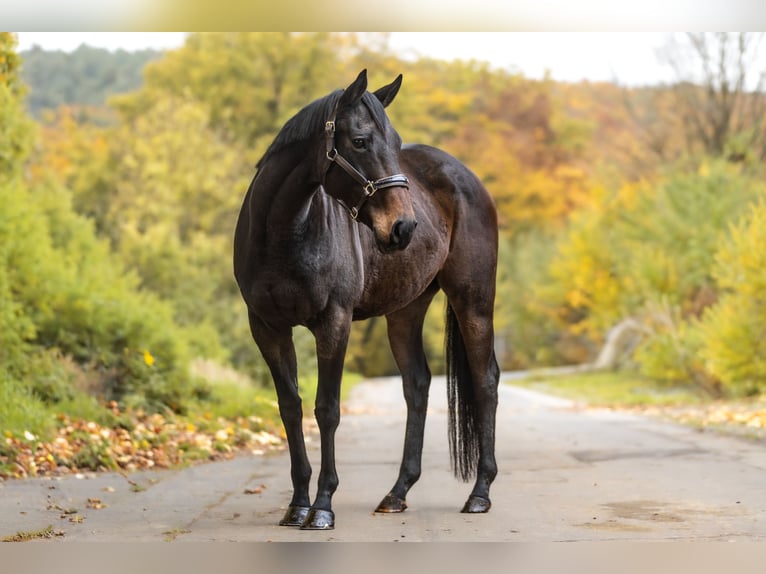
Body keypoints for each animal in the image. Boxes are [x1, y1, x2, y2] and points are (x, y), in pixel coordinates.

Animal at [233, 69, 500, 530]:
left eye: (395, 143)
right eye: (359, 141)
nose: (404, 227)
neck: (283, 232)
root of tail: (466, 176)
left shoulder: (333, 323)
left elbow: (327, 409)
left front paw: (322, 506)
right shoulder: (267, 327)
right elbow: (290, 407)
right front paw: (297, 504)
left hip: (474, 303)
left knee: (485, 381)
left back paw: (479, 493)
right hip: (405, 312)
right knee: (417, 385)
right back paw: (397, 493)